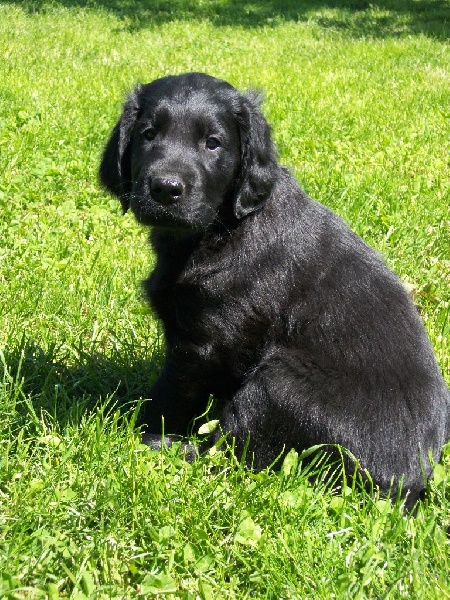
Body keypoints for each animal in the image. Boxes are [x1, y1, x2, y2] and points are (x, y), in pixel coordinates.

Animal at [100, 72, 449, 506]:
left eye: (213, 143)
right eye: (148, 134)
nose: (165, 188)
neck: (225, 228)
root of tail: (407, 488)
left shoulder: (202, 344)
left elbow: (172, 394)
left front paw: (145, 432)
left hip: (278, 384)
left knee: (230, 450)